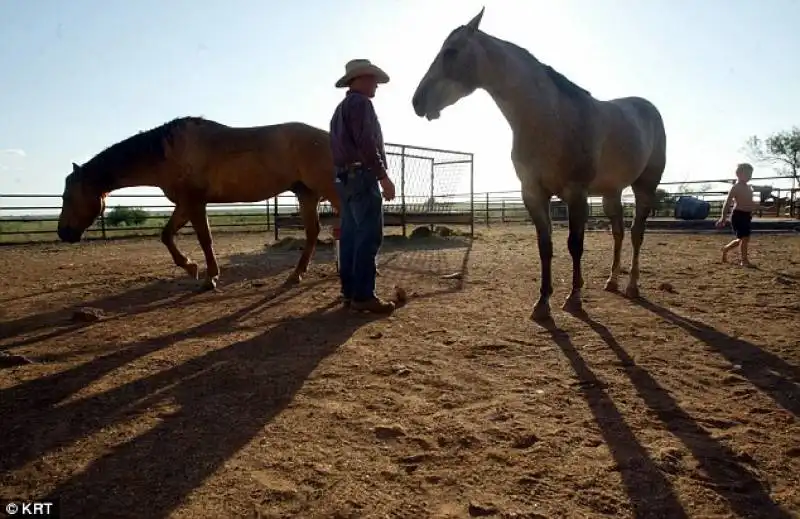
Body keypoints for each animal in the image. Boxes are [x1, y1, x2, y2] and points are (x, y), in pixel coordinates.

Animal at [57, 116, 340, 290]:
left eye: (67, 196)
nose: (63, 233)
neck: (168, 152)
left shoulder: (194, 203)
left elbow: (205, 240)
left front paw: (208, 278)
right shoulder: (185, 204)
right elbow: (166, 235)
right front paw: (191, 267)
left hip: (329, 191)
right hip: (307, 194)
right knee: (313, 233)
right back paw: (296, 274)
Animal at [412, 8, 668, 322]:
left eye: (451, 51)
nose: (417, 102)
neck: (550, 119)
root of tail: (649, 108)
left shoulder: (576, 194)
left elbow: (575, 245)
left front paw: (574, 298)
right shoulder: (533, 193)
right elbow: (545, 246)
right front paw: (542, 303)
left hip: (644, 187)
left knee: (635, 234)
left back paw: (632, 286)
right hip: (612, 192)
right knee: (618, 232)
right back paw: (612, 282)